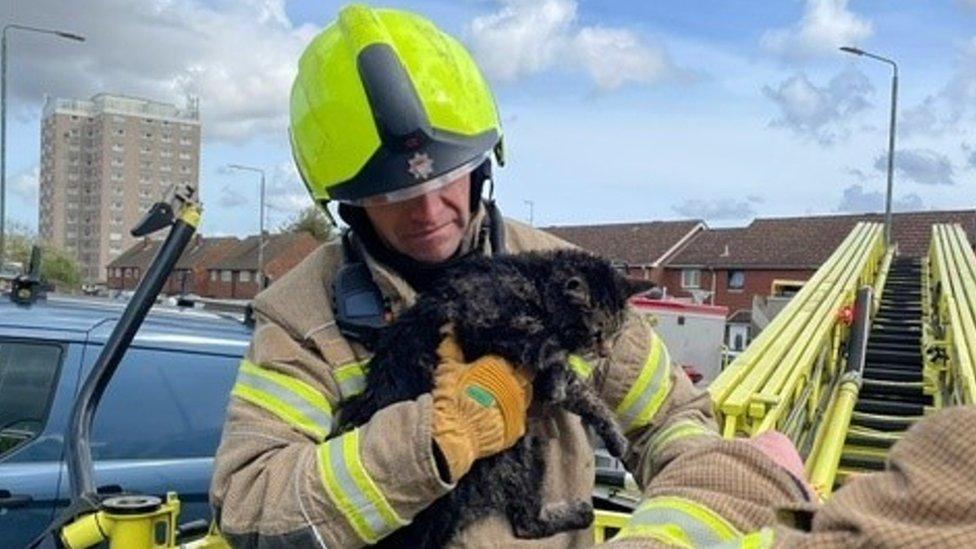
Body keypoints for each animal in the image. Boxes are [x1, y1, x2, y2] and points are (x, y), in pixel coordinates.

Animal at [340, 248, 636, 544]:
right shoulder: (481, 323)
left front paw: (615, 437)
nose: (606, 351)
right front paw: (557, 375)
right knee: (526, 523)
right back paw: (579, 513)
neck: (532, 282)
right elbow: (545, 344)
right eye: (596, 334)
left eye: (617, 332)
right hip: (523, 446)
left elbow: (585, 395)